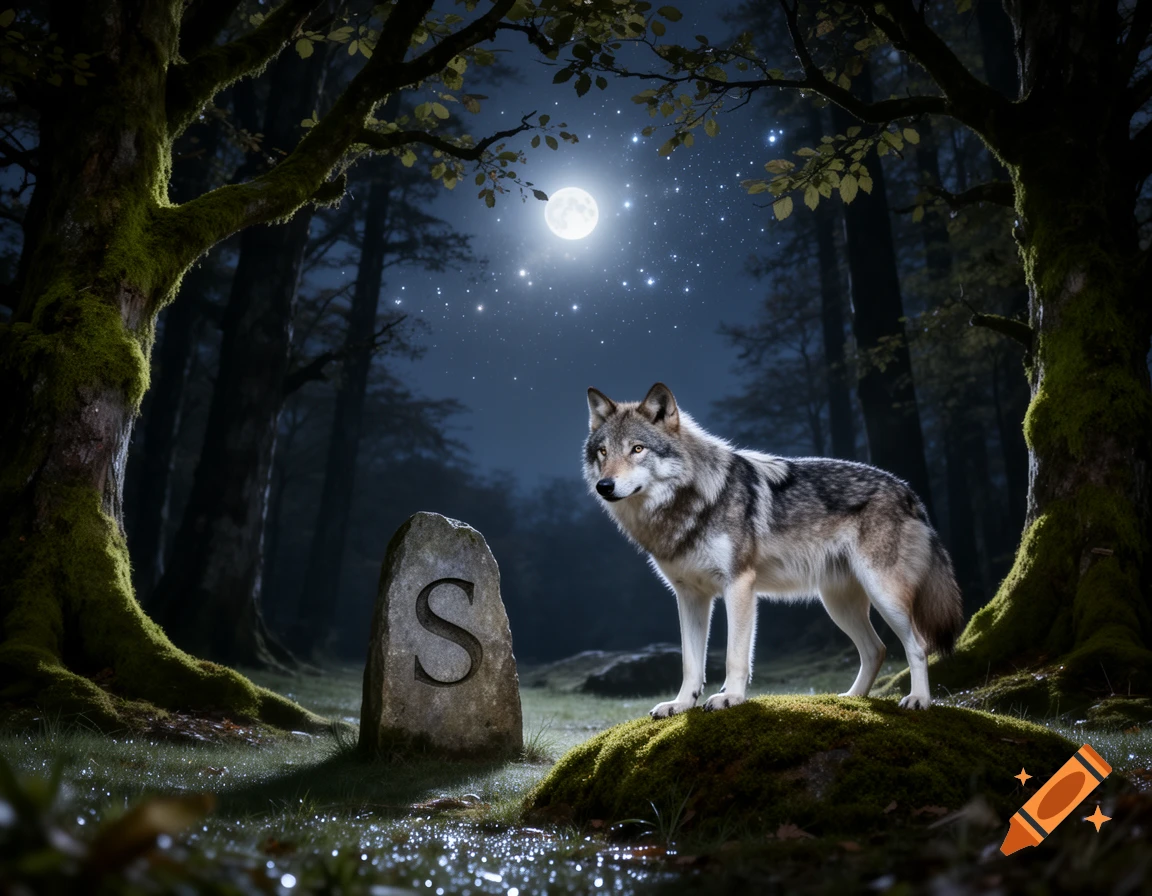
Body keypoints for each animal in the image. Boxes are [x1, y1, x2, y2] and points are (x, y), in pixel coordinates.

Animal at [583, 382, 963, 717]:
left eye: (637, 449)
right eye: (603, 452)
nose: (605, 486)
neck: (689, 504)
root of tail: (908, 492)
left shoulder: (739, 585)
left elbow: (735, 655)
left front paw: (730, 698)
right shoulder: (690, 596)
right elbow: (690, 663)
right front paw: (680, 705)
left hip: (883, 594)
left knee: (917, 645)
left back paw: (918, 700)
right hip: (837, 604)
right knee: (876, 650)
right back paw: (850, 700)